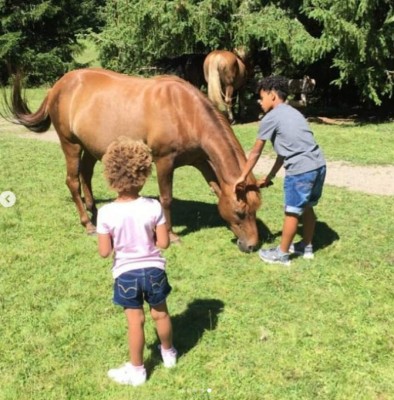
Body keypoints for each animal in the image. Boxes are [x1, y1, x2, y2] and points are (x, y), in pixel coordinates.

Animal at [6, 68, 262, 250]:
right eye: (240, 213)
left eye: (255, 211)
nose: (251, 246)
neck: (186, 111)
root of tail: (58, 86)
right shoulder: (164, 161)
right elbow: (166, 199)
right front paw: (171, 235)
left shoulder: (199, 159)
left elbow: (215, 186)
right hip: (71, 144)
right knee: (73, 181)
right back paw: (87, 224)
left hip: (89, 146)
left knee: (86, 175)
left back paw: (95, 213)